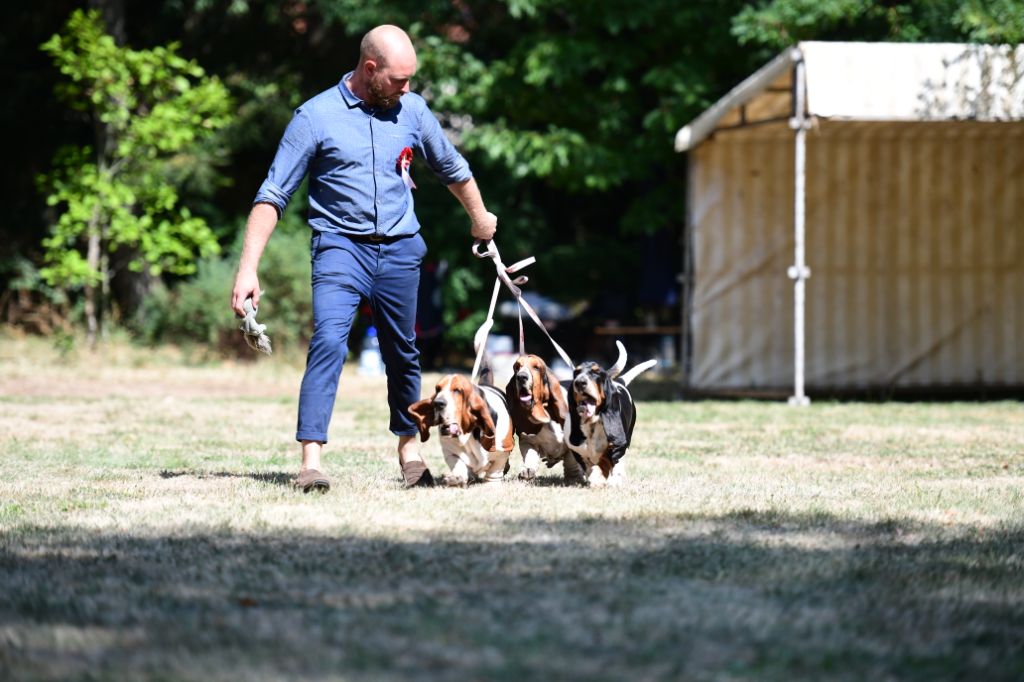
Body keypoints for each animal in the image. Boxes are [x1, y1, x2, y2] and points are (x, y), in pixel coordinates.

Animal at [503, 352, 585, 481]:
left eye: (536, 367)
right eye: (517, 367)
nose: (521, 377)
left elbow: (572, 460)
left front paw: (574, 476)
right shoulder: (527, 441)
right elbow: (530, 454)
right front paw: (527, 471)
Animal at [569, 339, 655, 483]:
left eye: (596, 373)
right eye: (576, 372)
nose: (580, 382)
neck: (593, 424)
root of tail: (618, 381)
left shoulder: (616, 448)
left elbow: (613, 462)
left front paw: (613, 481)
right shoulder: (578, 452)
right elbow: (588, 465)